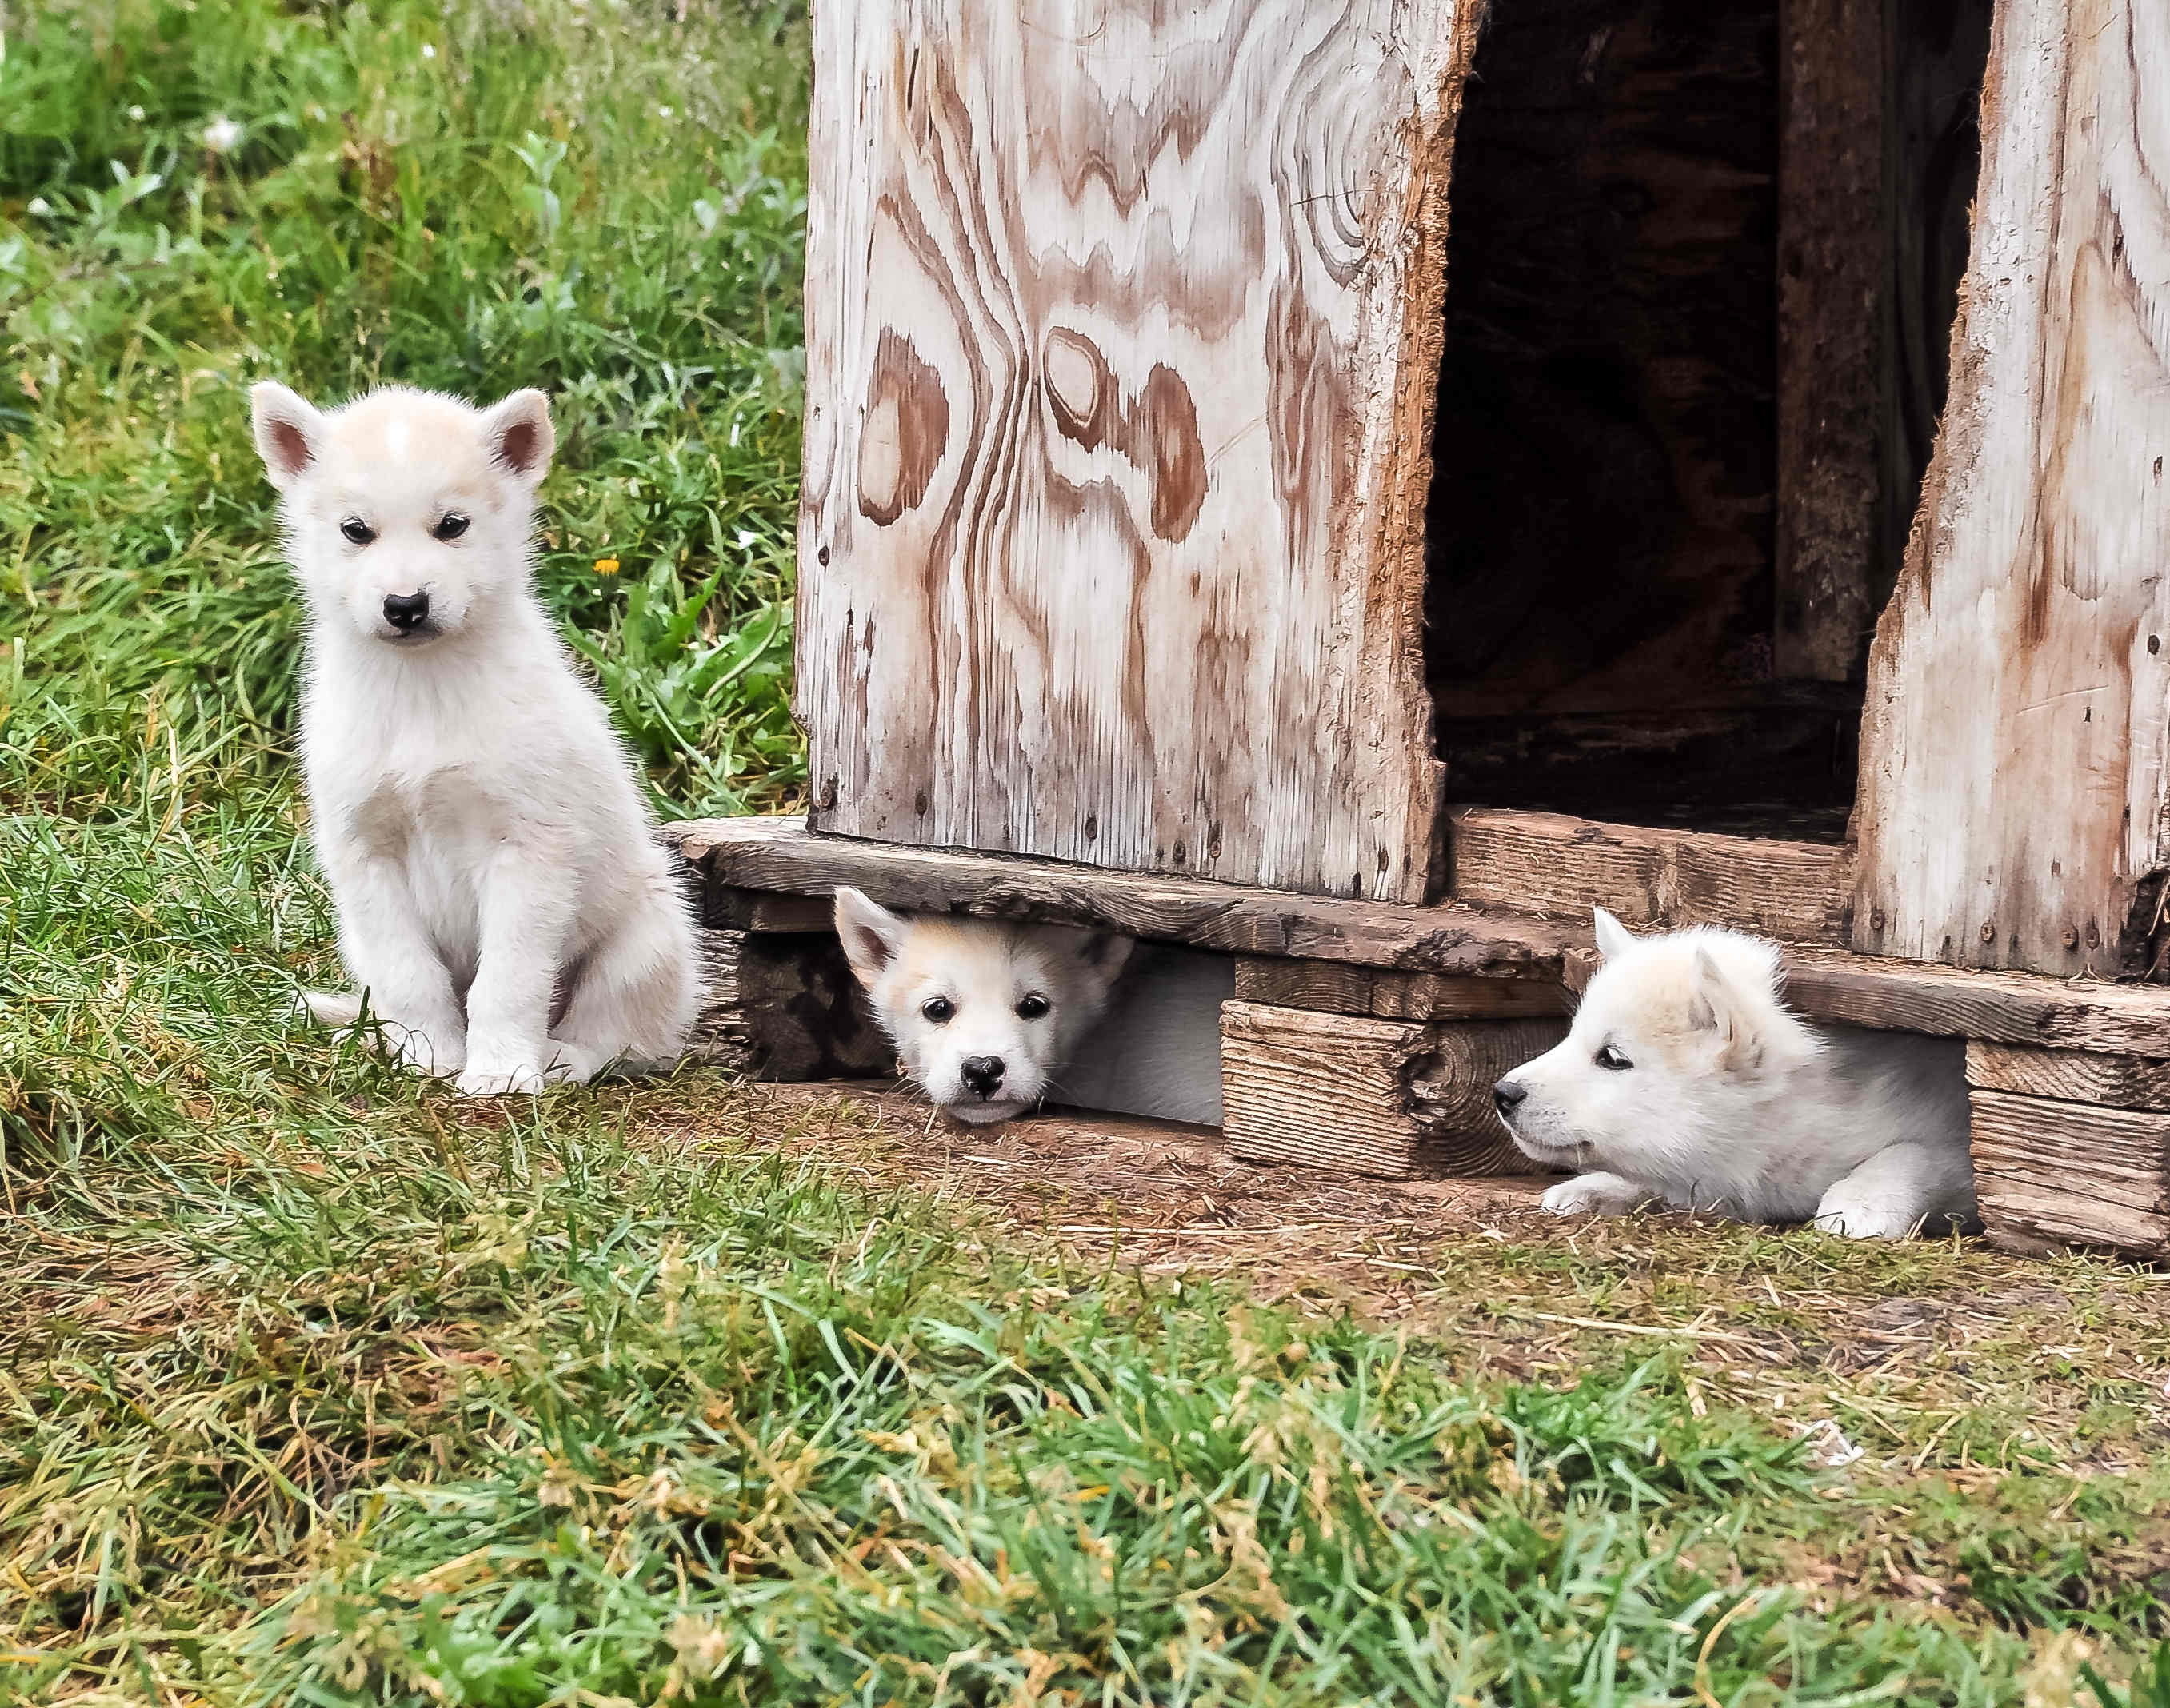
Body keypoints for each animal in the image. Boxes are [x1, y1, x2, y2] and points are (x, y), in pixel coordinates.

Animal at [253, 379, 694, 1093]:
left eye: (452, 526)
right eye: (356, 531)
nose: (405, 605)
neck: (421, 692)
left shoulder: (529, 849)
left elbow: (508, 980)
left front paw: (501, 1073)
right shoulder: (365, 852)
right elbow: (409, 975)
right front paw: (426, 1056)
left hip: (647, 937)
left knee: (620, 1037)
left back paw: (558, 1058)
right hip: (353, 935)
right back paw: (366, 1036)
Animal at [1493, 916, 1988, 1232]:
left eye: (1612, 1058)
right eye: (1571, 1036)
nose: (1502, 1093)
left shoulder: (1949, 1134)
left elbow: (1911, 1155)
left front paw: (1857, 1204)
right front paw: (1593, 1187)